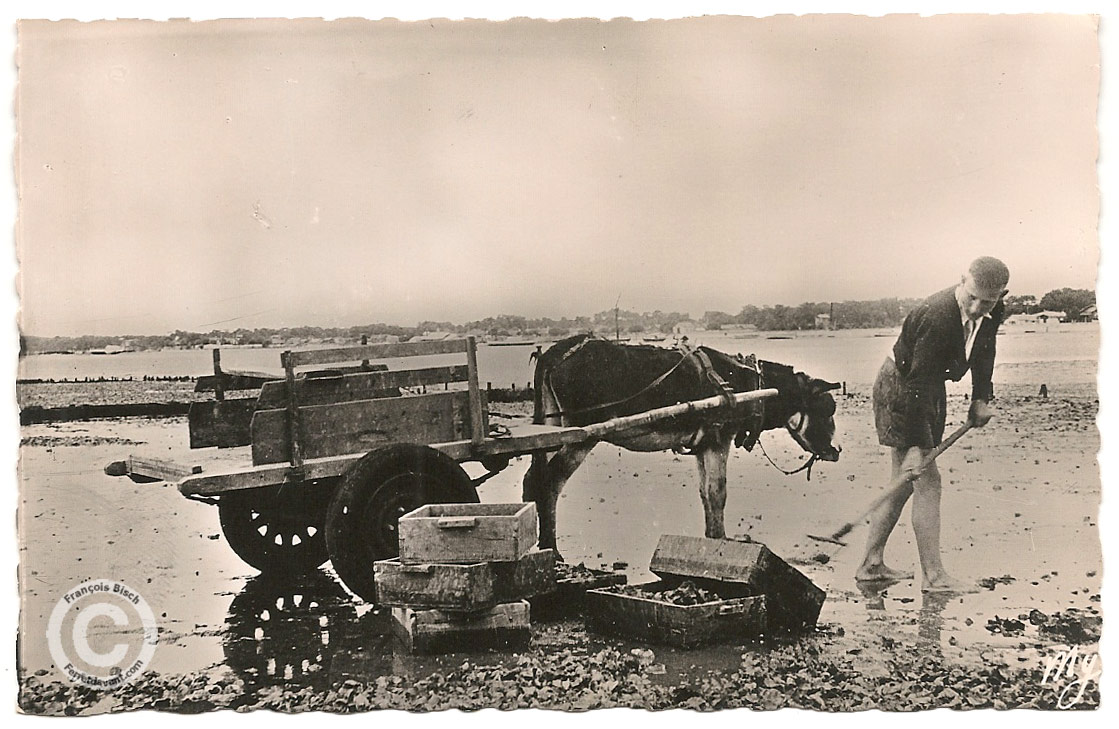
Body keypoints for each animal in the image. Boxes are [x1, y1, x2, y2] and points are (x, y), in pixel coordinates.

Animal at [523, 335, 841, 553]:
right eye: (827, 409)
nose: (836, 451)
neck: (749, 384)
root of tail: (555, 352)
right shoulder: (718, 441)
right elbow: (718, 493)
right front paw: (721, 540)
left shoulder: (703, 445)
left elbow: (705, 494)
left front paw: (711, 538)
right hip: (582, 435)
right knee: (550, 481)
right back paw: (551, 550)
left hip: (553, 428)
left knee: (532, 479)